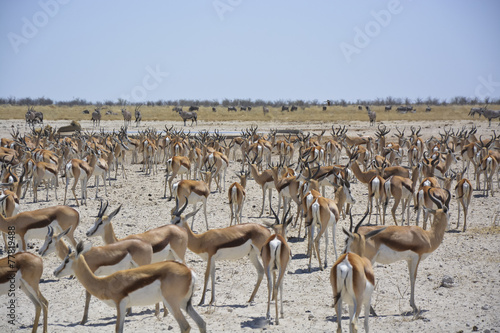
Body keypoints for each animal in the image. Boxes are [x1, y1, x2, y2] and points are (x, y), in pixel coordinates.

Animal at [55, 241, 208, 332]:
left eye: (67, 260)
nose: (55, 272)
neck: (105, 283)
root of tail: (188, 271)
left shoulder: (120, 304)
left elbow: (118, 329)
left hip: (172, 303)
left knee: (185, 326)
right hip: (185, 304)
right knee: (201, 323)